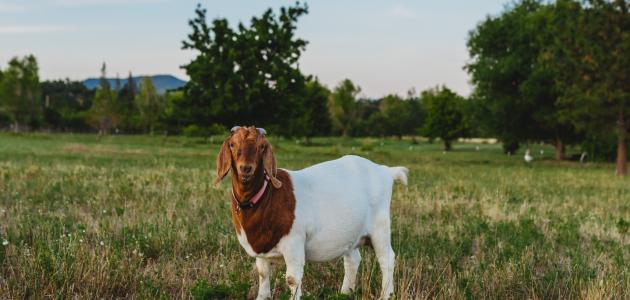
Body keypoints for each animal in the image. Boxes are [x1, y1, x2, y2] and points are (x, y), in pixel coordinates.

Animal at [215, 126, 410, 300]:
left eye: (262, 147)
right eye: (232, 144)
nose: (245, 168)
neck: (267, 196)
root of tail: (385, 170)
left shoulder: (294, 242)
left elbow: (292, 279)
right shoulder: (261, 247)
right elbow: (263, 274)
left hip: (380, 226)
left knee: (386, 258)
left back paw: (386, 295)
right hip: (351, 231)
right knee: (352, 259)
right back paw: (345, 293)